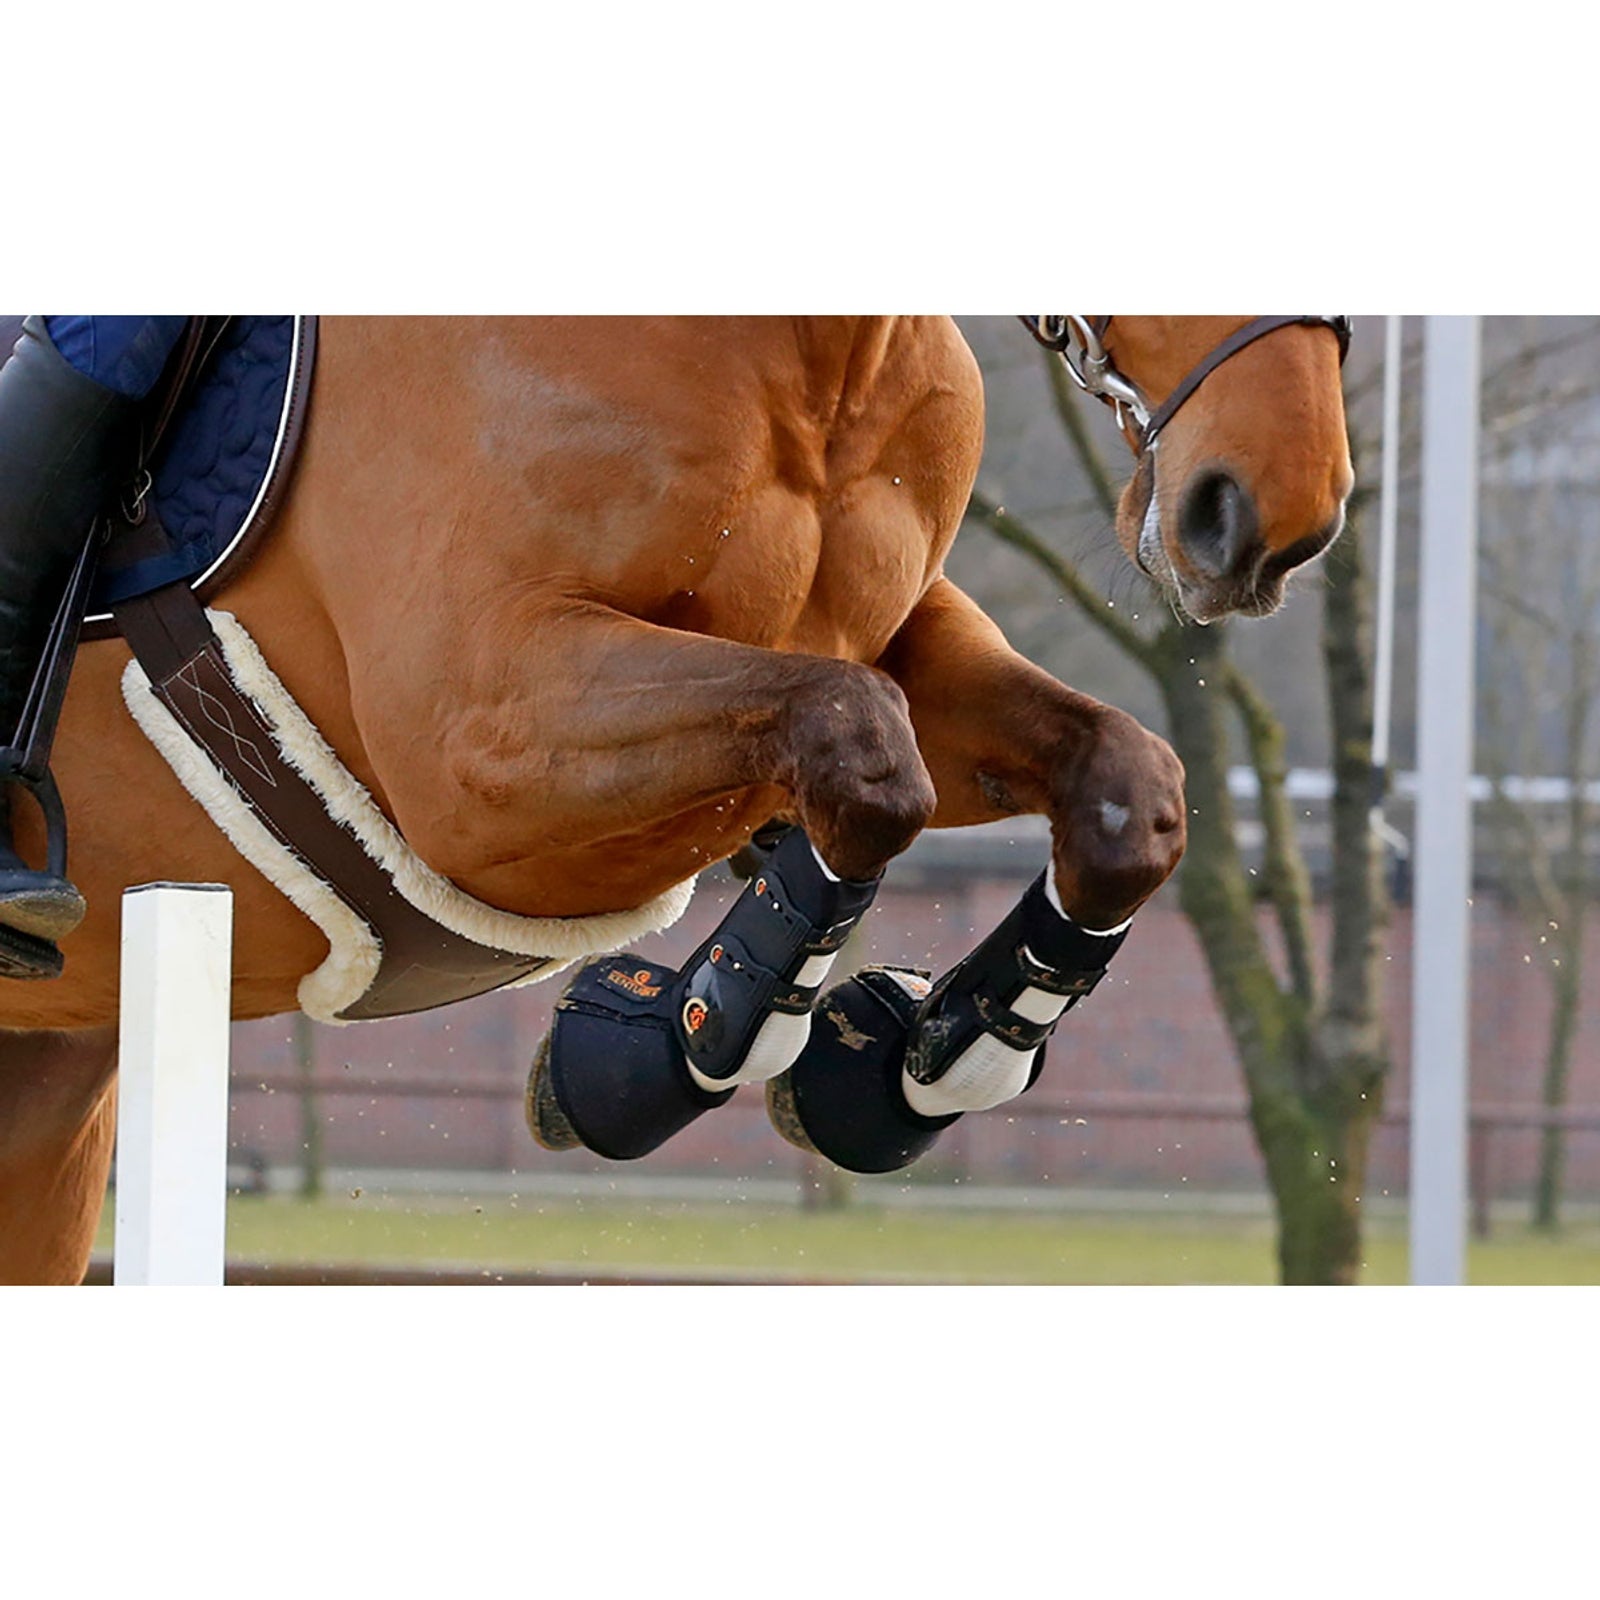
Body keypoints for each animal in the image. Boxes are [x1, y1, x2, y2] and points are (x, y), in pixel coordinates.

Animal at [0, 315, 1353, 1282]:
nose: (1277, 510)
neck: (806, 356)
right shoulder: (477, 742)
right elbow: (863, 750)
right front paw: (651, 1052)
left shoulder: (888, 640)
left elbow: (1119, 788)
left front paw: (918, 1058)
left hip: (55, 1075)